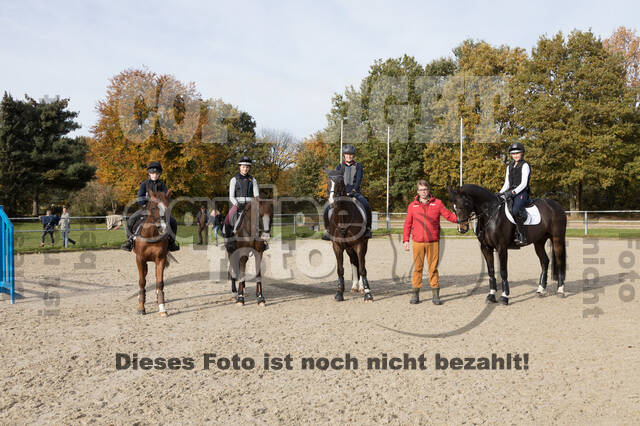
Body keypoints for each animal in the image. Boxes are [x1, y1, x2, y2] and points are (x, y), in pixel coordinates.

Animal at [322, 168, 372, 302]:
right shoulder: (337, 246)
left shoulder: (359, 244)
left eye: (340, 182)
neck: (343, 217)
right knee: (353, 261)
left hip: (362, 244)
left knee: (360, 262)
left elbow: (362, 268)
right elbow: (340, 270)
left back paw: (361, 287)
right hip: (349, 248)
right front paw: (339, 292)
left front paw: (368, 293)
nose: (332, 202)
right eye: (328, 182)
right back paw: (355, 286)